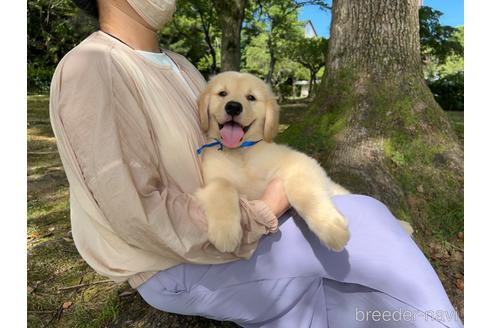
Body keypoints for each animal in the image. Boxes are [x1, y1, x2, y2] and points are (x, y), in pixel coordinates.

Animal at [194, 71, 352, 251]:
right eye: (222, 93)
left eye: (251, 97)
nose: (233, 106)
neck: (241, 152)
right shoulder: (212, 180)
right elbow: (222, 186)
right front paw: (225, 231)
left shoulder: (301, 162)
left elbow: (302, 191)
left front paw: (331, 227)